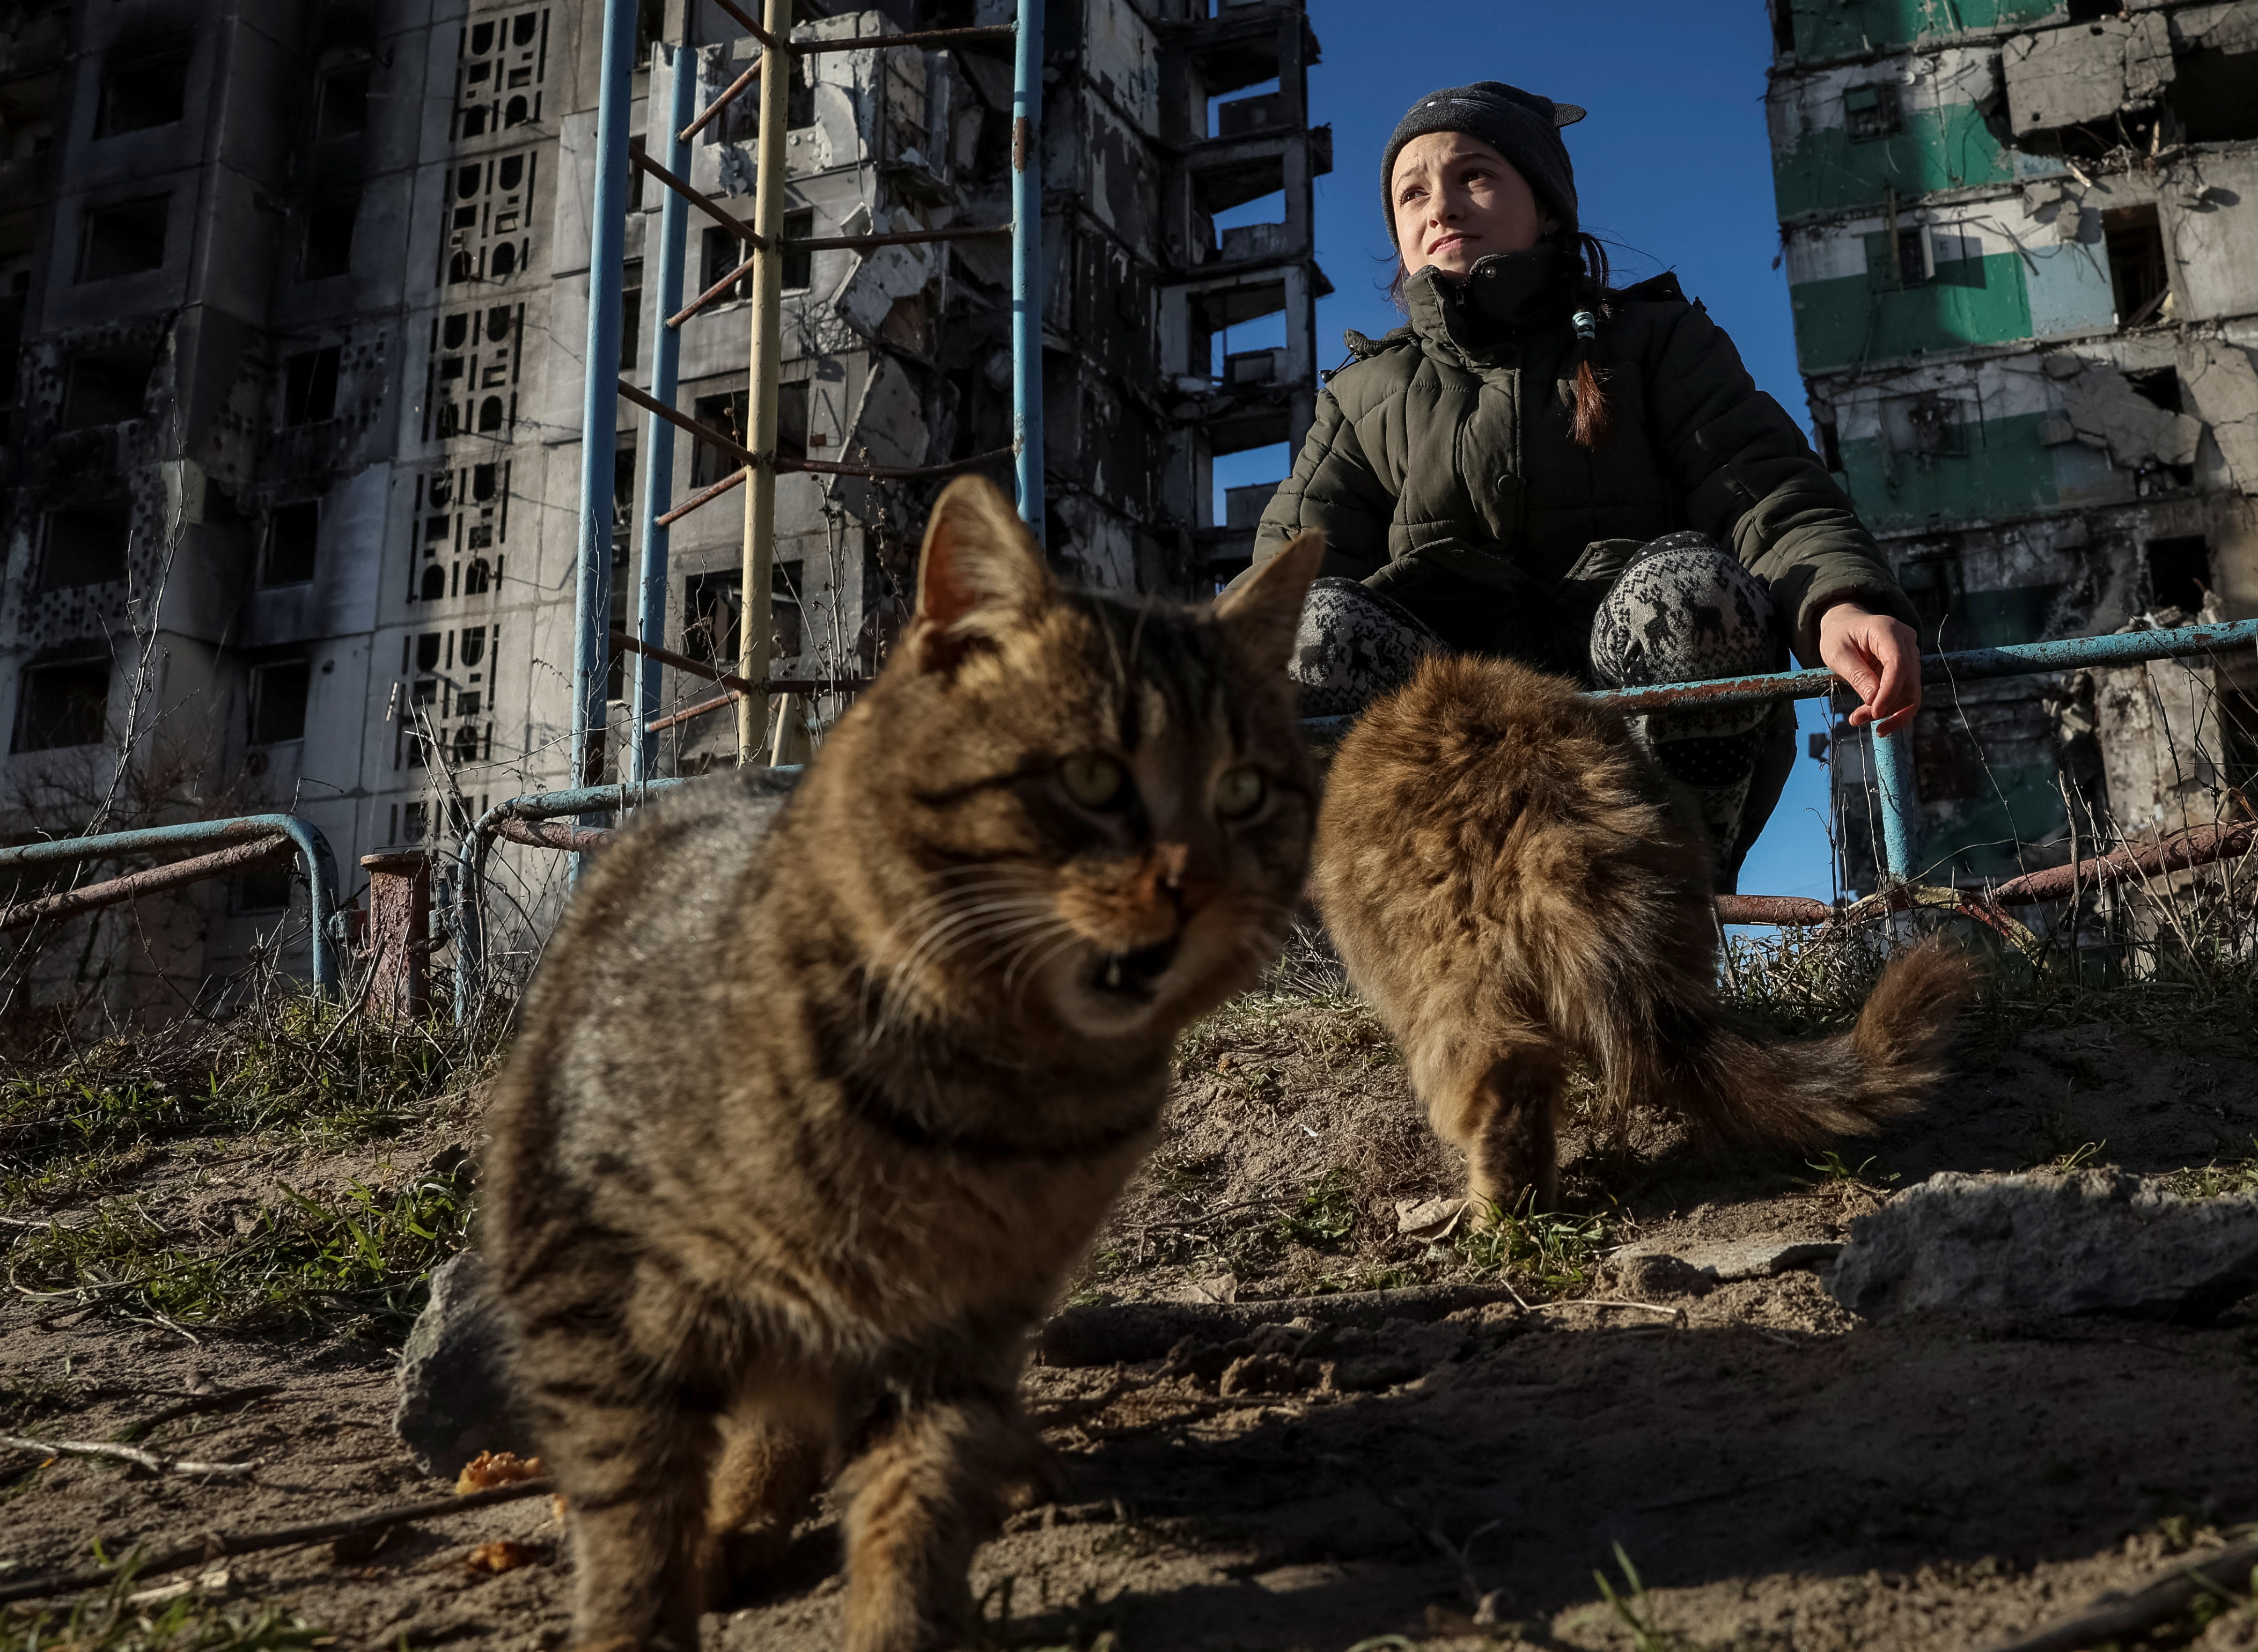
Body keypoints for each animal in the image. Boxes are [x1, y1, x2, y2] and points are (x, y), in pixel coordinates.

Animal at [481, 478, 1319, 1652]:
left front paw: (905, 1614)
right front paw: (643, 1616)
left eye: (1242, 791)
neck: (992, 1094)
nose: (1198, 885)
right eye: (1094, 777)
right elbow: (631, 1509)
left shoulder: (956, 1327)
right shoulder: (581, 1275)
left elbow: (917, 1491)